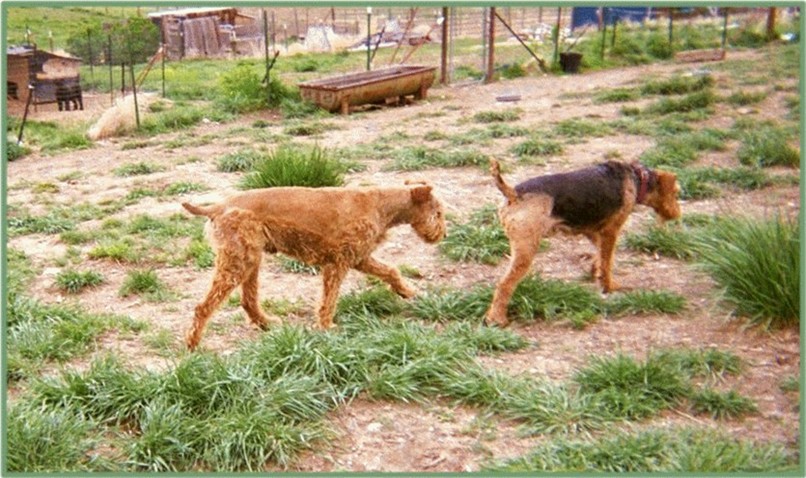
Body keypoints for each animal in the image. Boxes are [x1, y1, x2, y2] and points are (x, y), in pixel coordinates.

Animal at [183, 183, 448, 352]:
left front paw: (407, 292)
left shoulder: (360, 257)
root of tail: (217, 207)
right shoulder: (338, 263)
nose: (443, 235)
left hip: (250, 260)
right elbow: (328, 301)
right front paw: (327, 327)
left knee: (248, 301)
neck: (381, 205)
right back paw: (193, 344)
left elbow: (391, 271)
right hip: (238, 262)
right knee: (203, 307)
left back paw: (266, 323)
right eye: (438, 212)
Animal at [486, 159, 680, 326]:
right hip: (526, 249)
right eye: (676, 192)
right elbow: (607, 261)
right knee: (504, 284)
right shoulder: (611, 230)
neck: (639, 179)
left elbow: (599, 254)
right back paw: (496, 319)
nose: (677, 215)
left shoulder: (591, 229)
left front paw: (595, 271)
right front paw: (608, 286)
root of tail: (514, 194)